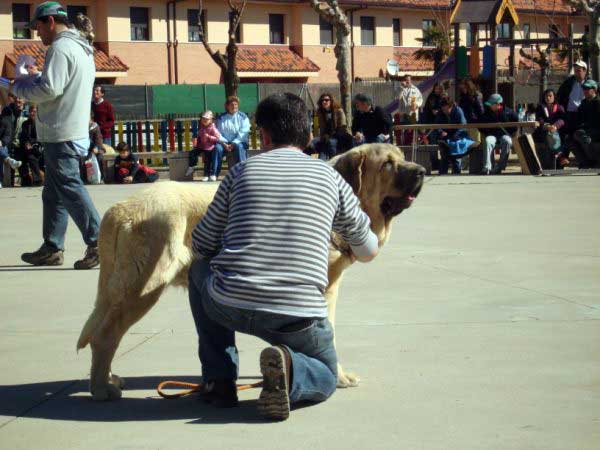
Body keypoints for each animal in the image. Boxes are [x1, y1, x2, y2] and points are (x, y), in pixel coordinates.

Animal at [77, 144, 424, 400]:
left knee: (103, 331)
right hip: (143, 287)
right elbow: (332, 338)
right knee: (106, 336)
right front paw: (338, 376)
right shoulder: (324, 291)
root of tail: (119, 208)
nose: (420, 171)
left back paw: (108, 379)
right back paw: (102, 389)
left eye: (402, 157)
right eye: (388, 164)